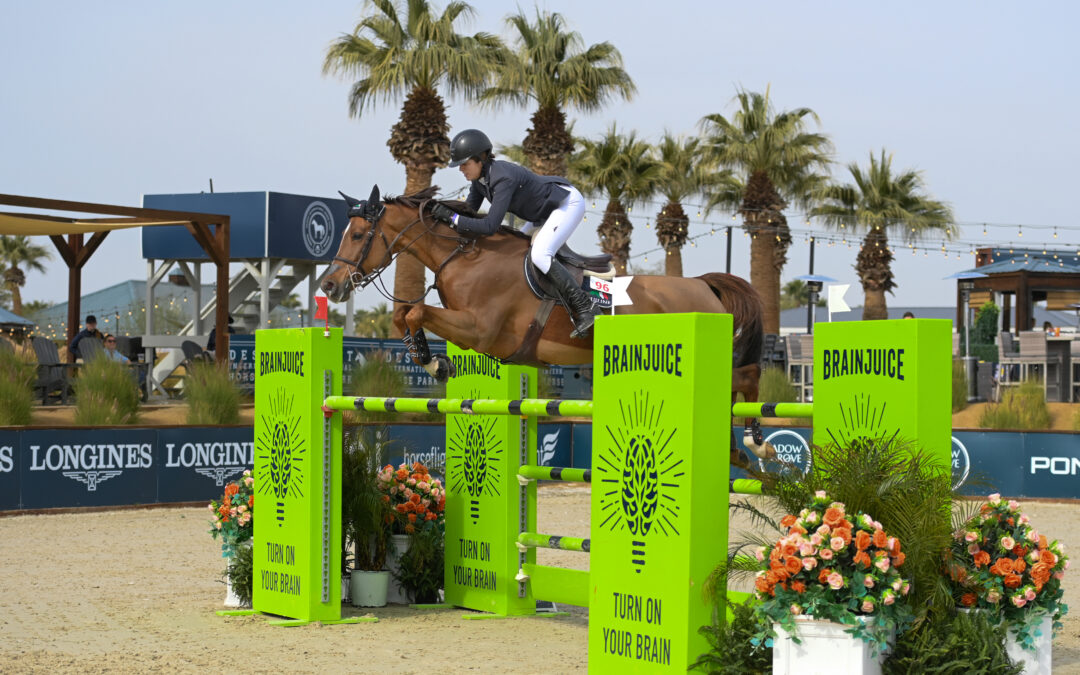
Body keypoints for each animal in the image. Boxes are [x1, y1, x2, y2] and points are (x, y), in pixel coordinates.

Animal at [320, 185, 775, 468]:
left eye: (358, 235)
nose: (329, 285)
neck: (465, 255)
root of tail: (703, 286)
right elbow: (405, 314)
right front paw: (429, 359)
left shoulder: (480, 330)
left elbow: (416, 312)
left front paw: (436, 365)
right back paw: (737, 452)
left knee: (749, 376)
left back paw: (757, 442)